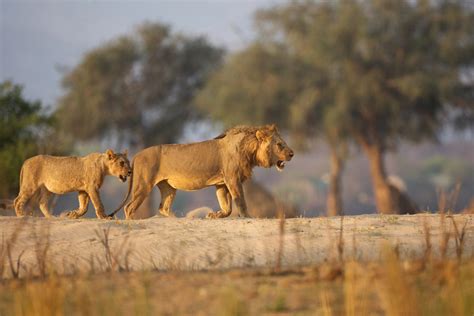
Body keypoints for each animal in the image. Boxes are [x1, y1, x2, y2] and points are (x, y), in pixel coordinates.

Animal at [110, 124, 294, 220]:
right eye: (280, 145)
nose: (292, 153)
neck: (249, 150)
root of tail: (136, 155)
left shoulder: (221, 183)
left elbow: (226, 206)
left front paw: (216, 215)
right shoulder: (232, 179)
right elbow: (240, 201)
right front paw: (247, 217)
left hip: (168, 187)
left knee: (163, 207)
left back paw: (177, 219)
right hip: (144, 185)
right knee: (129, 207)